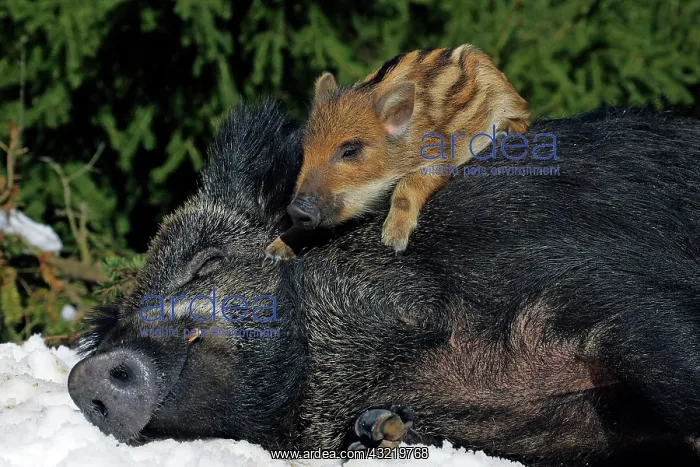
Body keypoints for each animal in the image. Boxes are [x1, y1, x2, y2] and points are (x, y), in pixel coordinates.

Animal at [264, 45, 529, 263]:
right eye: (305, 152)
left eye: (349, 151)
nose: (296, 210)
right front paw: (273, 253)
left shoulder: (437, 155)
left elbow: (408, 185)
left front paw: (392, 242)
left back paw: (505, 131)